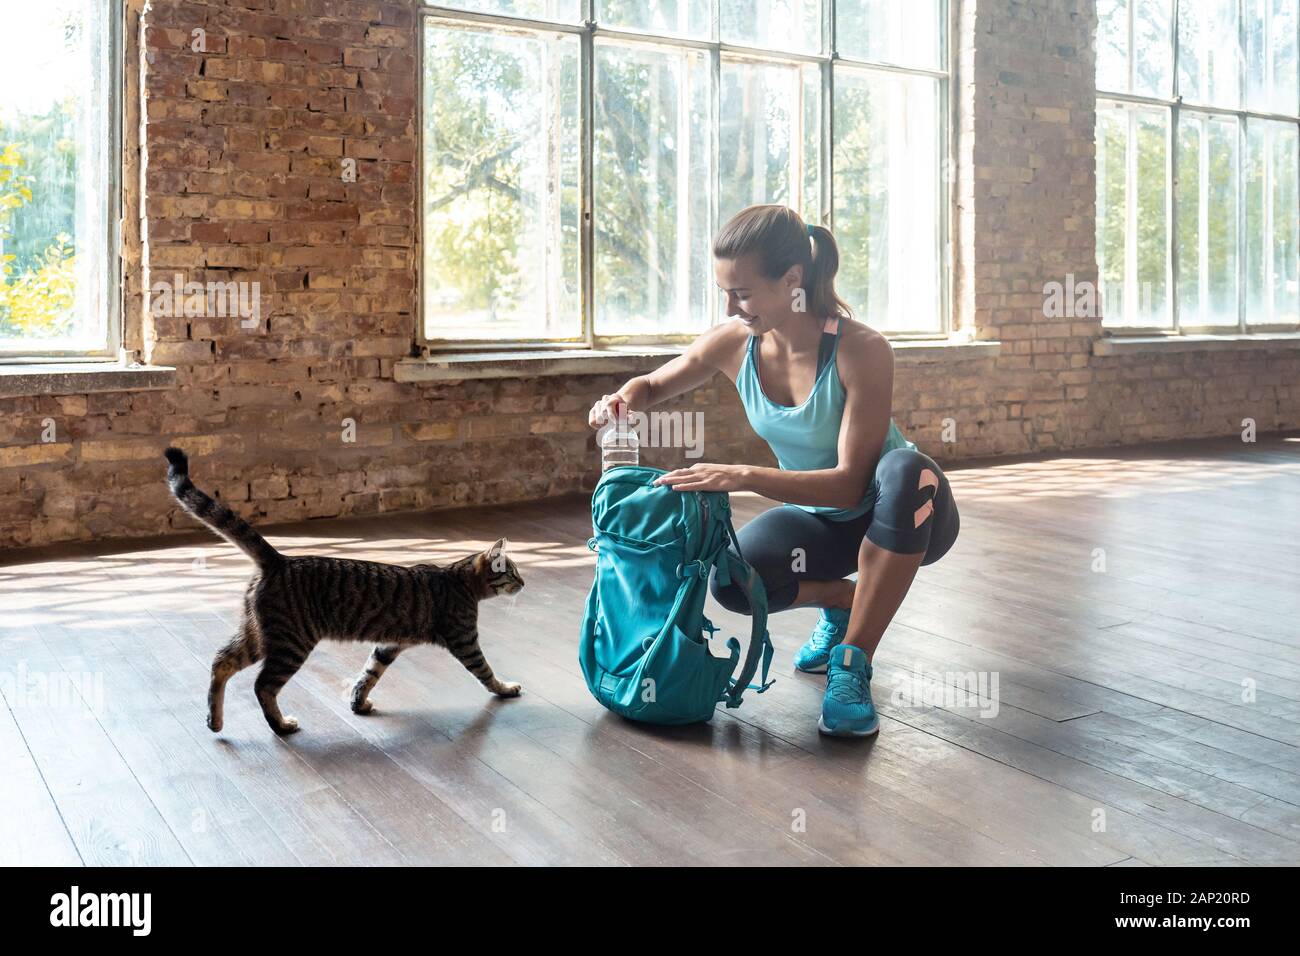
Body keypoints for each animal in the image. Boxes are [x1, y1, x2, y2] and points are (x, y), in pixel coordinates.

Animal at [163, 444, 522, 738]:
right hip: (291, 642)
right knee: (262, 685)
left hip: (258, 635)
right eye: (513, 572)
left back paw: (215, 720)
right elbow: (486, 672)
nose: (524, 583)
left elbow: (368, 674)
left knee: (221, 661)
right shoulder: (465, 640)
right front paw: (505, 688)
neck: (460, 580)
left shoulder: (388, 645)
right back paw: (280, 725)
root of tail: (279, 560)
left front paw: (358, 702)